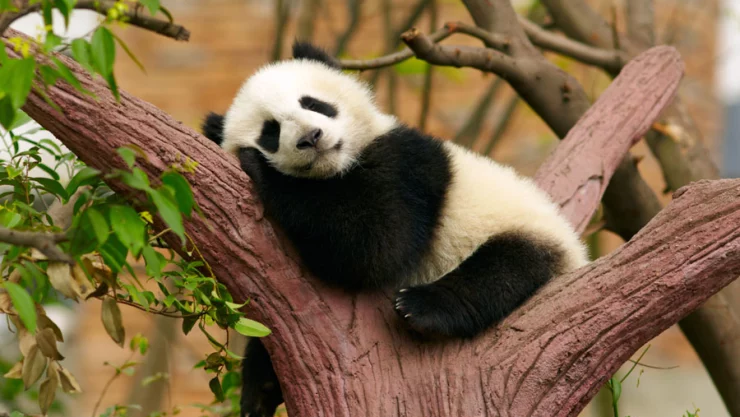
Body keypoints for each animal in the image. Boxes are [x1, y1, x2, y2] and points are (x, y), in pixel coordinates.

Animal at [202, 42, 588, 417]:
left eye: (313, 104)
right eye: (270, 131)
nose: (311, 137)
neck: (337, 168)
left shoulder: (406, 167)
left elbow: (375, 245)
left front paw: (261, 169)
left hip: (524, 229)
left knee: (503, 269)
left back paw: (422, 307)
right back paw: (262, 387)